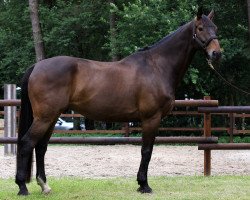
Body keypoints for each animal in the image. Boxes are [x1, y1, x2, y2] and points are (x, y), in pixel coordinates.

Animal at [16, 9, 221, 195]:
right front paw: (144, 185)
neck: (157, 66)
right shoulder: (151, 118)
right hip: (45, 117)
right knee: (27, 143)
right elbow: (146, 151)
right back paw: (22, 187)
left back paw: (44, 186)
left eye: (215, 28)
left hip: (51, 117)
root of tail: (36, 66)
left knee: (40, 147)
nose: (216, 54)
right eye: (201, 28)